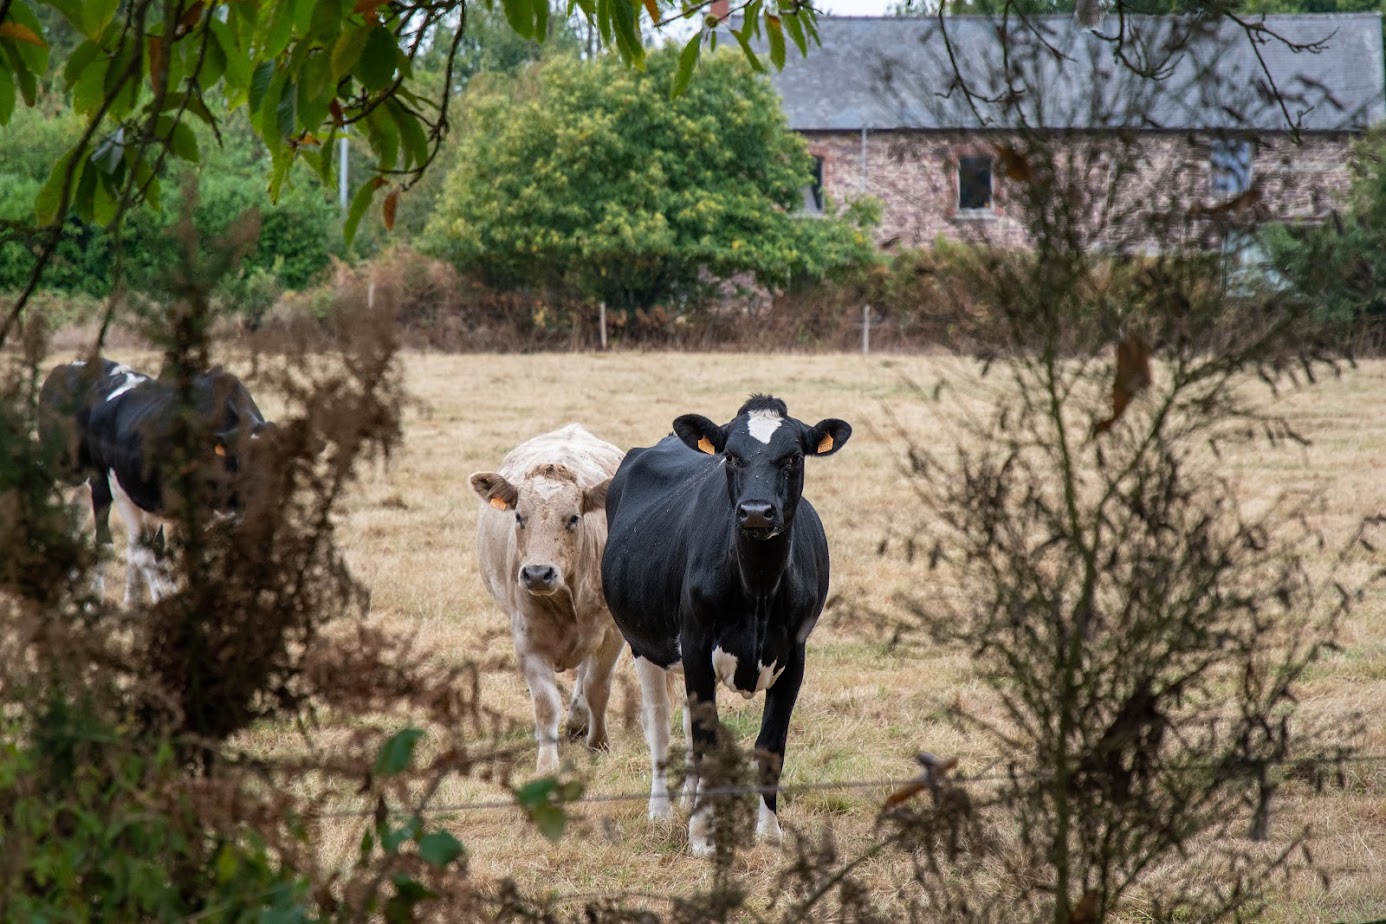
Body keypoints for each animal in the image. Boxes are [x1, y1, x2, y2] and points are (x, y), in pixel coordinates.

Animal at [474, 423, 632, 775]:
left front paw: (598, 743)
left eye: (573, 517)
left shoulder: (612, 633)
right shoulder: (527, 641)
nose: (537, 573)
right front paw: (546, 765)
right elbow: (546, 705)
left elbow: (597, 687)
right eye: (519, 516)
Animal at [601, 393, 848, 858]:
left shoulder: (795, 655)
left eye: (793, 457)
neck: (758, 589)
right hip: (643, 643)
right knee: (660, 724)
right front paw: (701, 835)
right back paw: (661, 810)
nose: (755, 512)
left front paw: (769, 832)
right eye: (731, 456)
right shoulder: (696, 646)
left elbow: (770, 745)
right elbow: (706, 742)